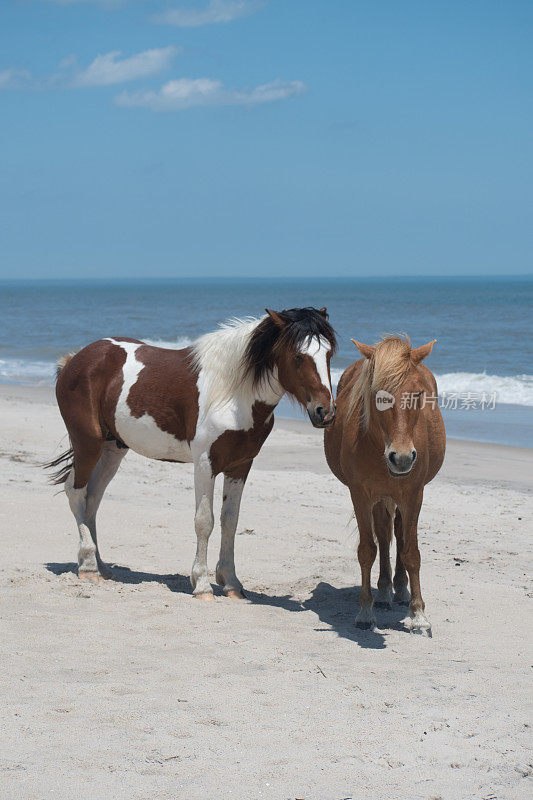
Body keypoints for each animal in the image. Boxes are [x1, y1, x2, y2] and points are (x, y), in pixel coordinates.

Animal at [47, 306, 334, 600]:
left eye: (329, 353)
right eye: (298, 356)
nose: (324, 412)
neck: (233, 394)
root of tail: (75, 359)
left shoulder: (240, 465)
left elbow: (230, 521)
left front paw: (231, 583)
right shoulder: (205, 464)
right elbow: (204, 521)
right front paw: (202, 585)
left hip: (112, 448)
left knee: (92, 497)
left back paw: (101, 566)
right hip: (87, 443)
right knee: (76, 492)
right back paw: (88, 566)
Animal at [324, 334, 444, 636]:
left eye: (418, 394)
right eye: (378, 395)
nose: (401, 458)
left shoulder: (413, 494)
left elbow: (411, 552)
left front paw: (418, 615)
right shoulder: (361, 495)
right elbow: (368, 550)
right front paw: (366, 612)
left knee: (398, 535)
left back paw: (400, 590)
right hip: (379, 498)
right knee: (385, 536)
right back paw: (384, 591)